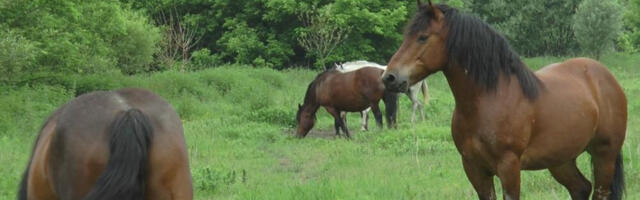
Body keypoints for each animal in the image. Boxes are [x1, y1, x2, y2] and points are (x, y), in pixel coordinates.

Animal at [382, 0, 628, 199]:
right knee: (581, 188)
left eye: (422, 37)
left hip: (604, 155)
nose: (389, 78)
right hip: (561, 160)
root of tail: (604, 76)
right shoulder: (474, 168)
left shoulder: (509, 167)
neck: (489, 99)